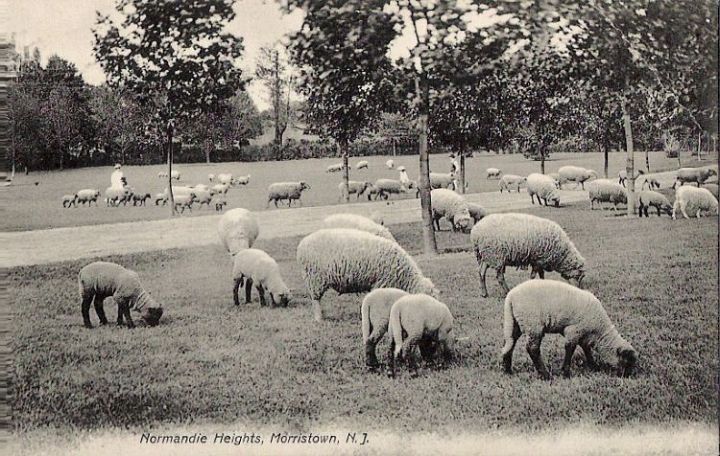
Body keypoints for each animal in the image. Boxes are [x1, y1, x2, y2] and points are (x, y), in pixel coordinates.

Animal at [294, 228, 438, 320]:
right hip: (315, 278)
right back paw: (319, 318)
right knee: (316, 300)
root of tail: (302, 243)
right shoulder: (383, 282)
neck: (405, 277)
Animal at [500, 280, 636, 380]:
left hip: (514, 322)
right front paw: (566, 373)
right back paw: (545, 375)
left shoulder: (583, 334)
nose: (627, 377)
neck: (599, 330)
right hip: (533, 324)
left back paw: (508, 371)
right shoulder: (574, 330)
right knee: (532, 349)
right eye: (627, 362)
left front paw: (593, 366)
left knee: (509, 343)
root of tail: (510, 297)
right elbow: (570, 348)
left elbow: (586, 349)